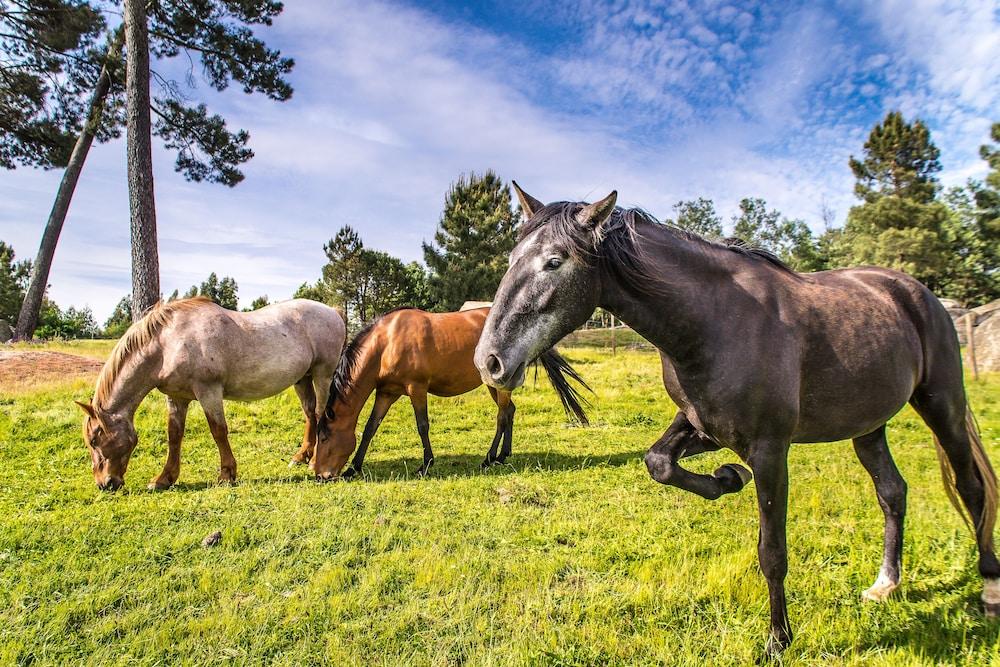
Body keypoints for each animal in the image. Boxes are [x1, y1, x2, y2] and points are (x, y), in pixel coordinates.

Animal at [76, 298, 346, 490]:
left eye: (94, 440)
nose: (105, 484)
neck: (168, 344)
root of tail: (333, 311)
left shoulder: (208, 391)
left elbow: (218, 431)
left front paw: (227, 474)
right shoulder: (177, 397)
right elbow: (174, 435)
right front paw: (164, 478)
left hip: (322, 375)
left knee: (321, 413)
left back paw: (314, 462)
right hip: (302, 379)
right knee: (310, 414)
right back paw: (301, 456)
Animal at [312, 306, 588, 482]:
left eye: (323, 438)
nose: (319, 475)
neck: (387, 341)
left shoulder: (417, 388)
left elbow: (422, 425)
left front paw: (426, 464)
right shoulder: (386, 392)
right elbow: (370, 428)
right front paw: (354, 468)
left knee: (502, 416)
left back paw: (489, 458)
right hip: (493, 383)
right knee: (509, 411)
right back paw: (502, 456)